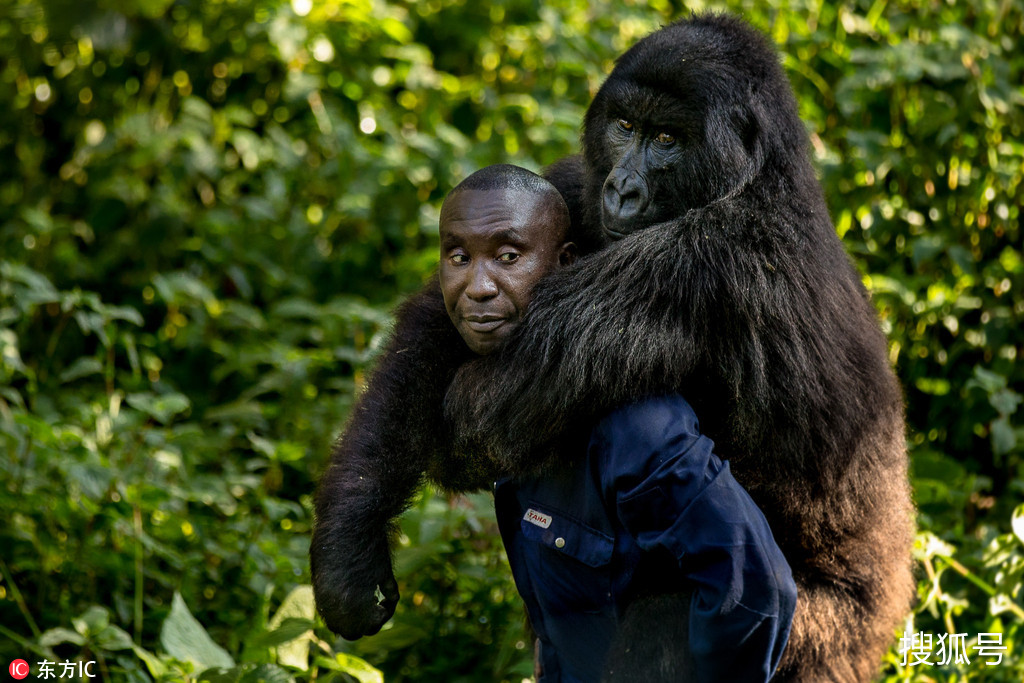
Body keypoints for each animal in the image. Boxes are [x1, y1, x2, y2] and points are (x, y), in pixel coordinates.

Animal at [309, 13, 913, 679]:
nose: (623, 191)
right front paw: (350, 550)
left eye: (668, 138)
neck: (759, 174)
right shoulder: (576, 179)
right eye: (625, 127)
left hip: (824, 644)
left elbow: (474, 414)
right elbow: (431, 330)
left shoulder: (702, 265)